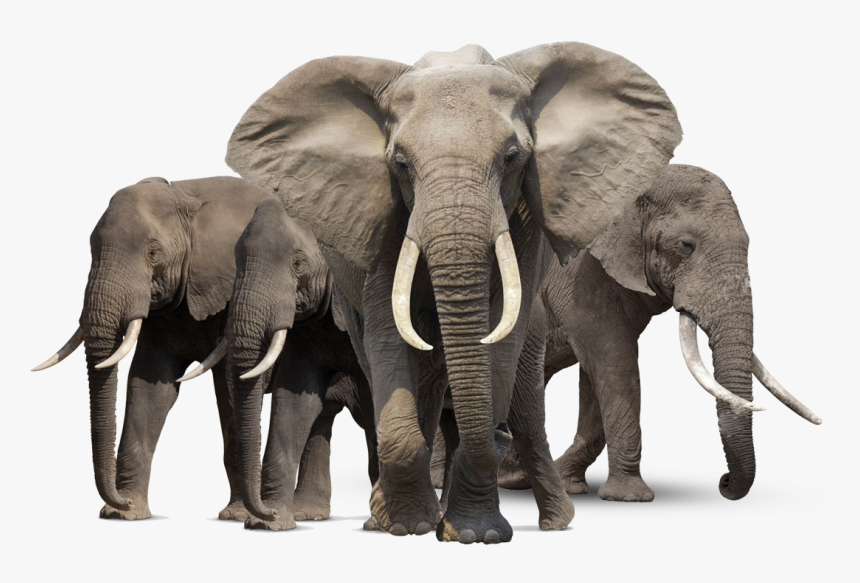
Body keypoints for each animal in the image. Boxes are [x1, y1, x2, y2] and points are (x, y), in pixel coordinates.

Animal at [33, 176, 269, 520]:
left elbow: (231, 386)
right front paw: (123, 513)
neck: (188, 194)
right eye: (91, 249)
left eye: (154, 253)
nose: (120, 500)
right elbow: (150, 387)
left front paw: (237, 516)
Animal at [185, 198, 378, 531]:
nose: (266, 512)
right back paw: (307, 514)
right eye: (236, 263)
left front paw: (383, 522)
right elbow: (294, 404)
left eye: (298, 264)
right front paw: (270, 523)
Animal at [226, 42, 683, 543]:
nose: (498, 434)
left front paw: (473, 534)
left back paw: (550, 521)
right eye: (400, 164)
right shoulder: (383, 219)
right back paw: (389, 519)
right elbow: (388, 333)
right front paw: (410, 526)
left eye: (512, 157)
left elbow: (500, 336)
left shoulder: (525, 225)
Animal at [432, 165, 822, 502]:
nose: (724, 483)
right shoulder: (581, 274)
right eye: (686, 245)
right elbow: (615, 367)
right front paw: (631, 498)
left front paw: (569, 484)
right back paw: (443, 483)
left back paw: (512, 480)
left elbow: (596, 381)